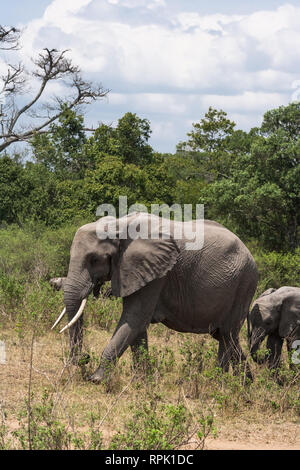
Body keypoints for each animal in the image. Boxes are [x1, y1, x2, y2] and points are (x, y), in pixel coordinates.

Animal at [52, 212, 258, 382]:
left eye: (94, 259)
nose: (84, 358)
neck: (120, 224)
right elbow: (136, 326)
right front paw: (143, 381)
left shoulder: (155, 274)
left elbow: (134, 318)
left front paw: (96, 379)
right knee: (228, 336)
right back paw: (245, 384)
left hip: (244, 284)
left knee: (226, 335)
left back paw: (217, 383)